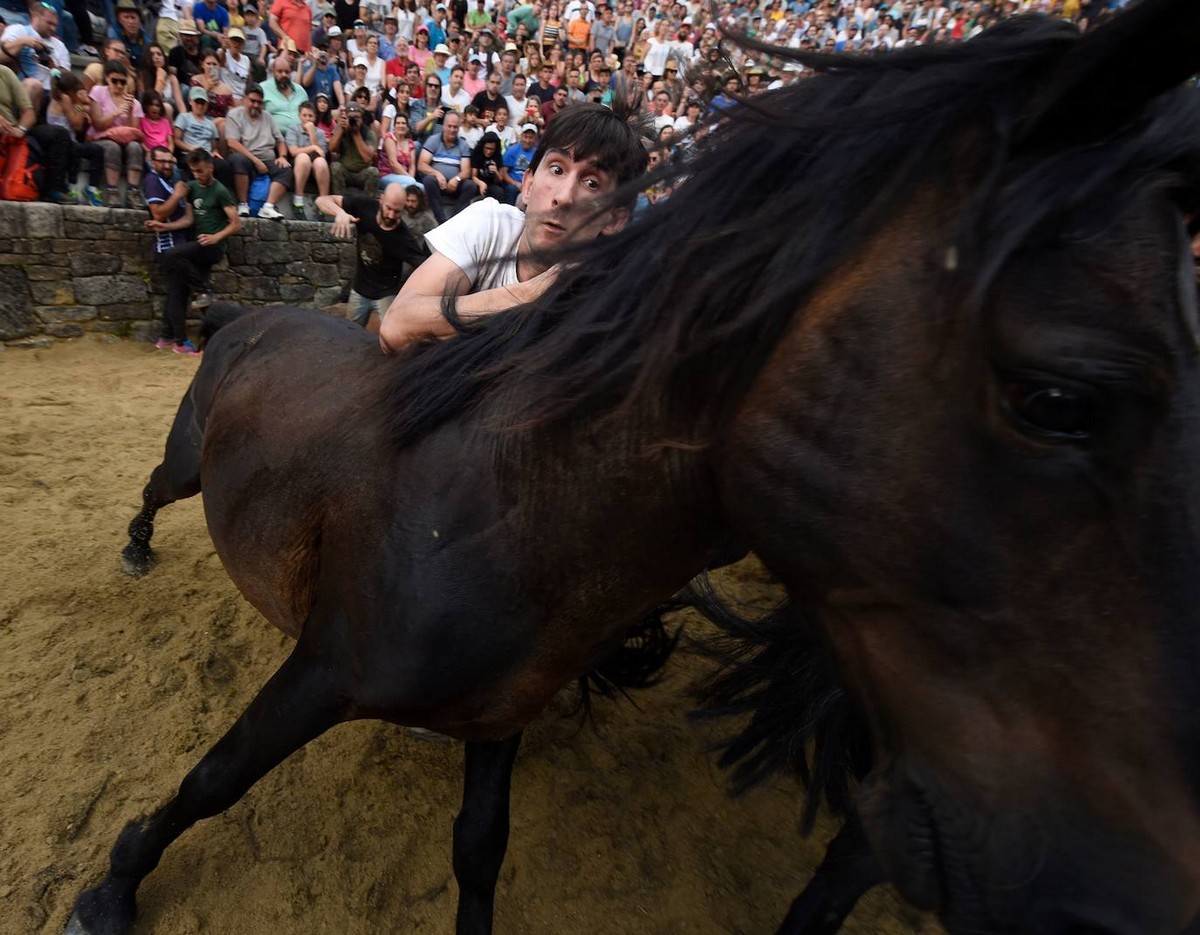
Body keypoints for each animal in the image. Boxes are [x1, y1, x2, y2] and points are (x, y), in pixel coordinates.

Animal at [70, 3, 1200, 931]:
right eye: (1059, 399)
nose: (1120, 898)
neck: (498, 512)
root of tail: (251, 314)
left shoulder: (501, 711)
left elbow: (479, 852)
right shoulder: (322, 669)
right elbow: (216, 777)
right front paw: (114, 886)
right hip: (189, 459)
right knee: (154, 492)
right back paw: (130, 549)